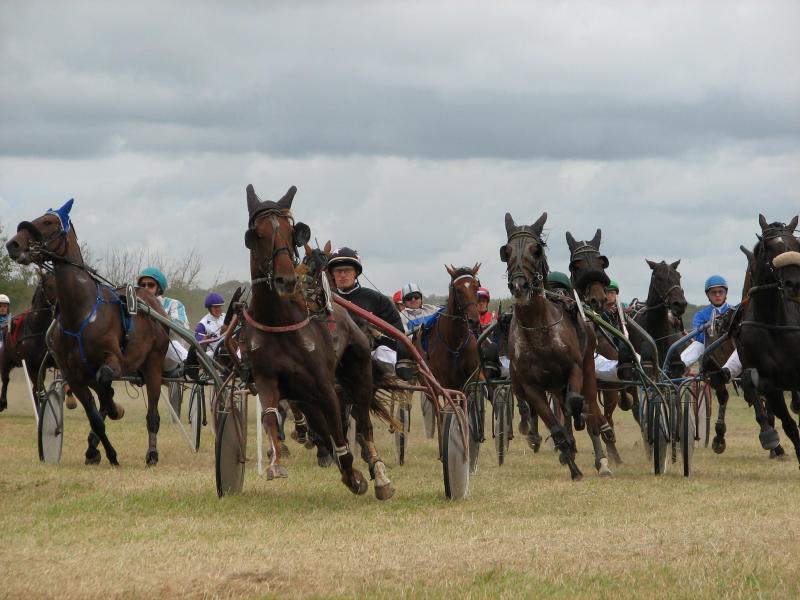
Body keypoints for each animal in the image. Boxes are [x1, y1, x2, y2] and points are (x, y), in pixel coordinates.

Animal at [0, 270, 57, 410]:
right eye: (49, 286)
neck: (36, 328)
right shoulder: (31, 365)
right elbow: (39, 390)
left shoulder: (46, 363)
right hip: (5, 360)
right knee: (6, 379)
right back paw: (2, 401)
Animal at [241, 184, 396, 502]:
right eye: (258, 234)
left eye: (292, 232)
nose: (286, 279)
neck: (279, 322)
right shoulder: (268, 380)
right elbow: (270, 417)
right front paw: (276, 461)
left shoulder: (325, 386)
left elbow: (341, 433)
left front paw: (354, 472)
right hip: (305, 394)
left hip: (359, 373)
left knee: (363, 425)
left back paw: (378, 474)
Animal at [500, 213, 608, 480]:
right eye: (506, 251)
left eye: (536, 250)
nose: (519, 286)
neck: (539, 329)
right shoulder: (531, 385)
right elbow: (556, 427)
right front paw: (572, 466)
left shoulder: (574, 369)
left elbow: (576, 403)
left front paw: (578, 425)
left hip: (587, 368)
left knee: (589, 408)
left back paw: (602, 460)